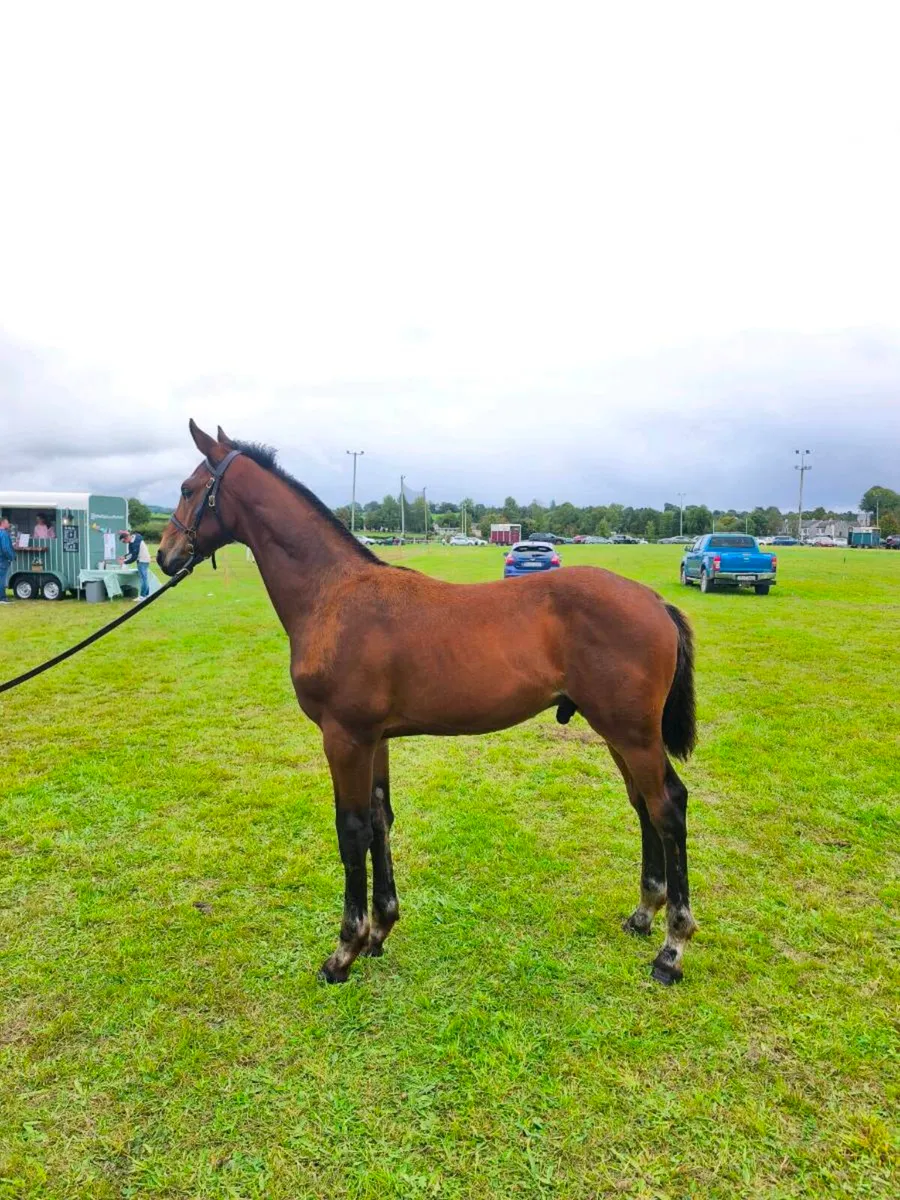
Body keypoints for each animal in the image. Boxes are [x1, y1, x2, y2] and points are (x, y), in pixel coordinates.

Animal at [157, 421, 699, 986]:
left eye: (188, 489)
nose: (163, 555)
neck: (332, 595)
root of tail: (654, 600)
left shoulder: (344, 737)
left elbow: (351, 830)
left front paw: (344, 950)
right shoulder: (373, 739)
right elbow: (379, 820)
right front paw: (379, 931)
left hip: (632, 733)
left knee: (668, 806)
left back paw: (672, 948)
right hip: (619, 731)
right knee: (642, 804)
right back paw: (643, 914)